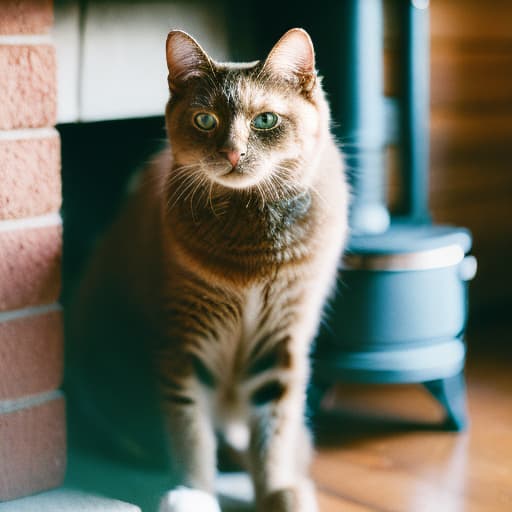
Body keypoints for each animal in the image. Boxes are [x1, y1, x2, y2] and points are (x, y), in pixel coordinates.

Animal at [67, 29, 348, 512]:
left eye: (266, 120)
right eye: (204, 120)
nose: (232, 152)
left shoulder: (283, 342)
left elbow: (274, 429)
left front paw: (278, 490)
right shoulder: (183, 343)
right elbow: (190, 430)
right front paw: (194, 493)